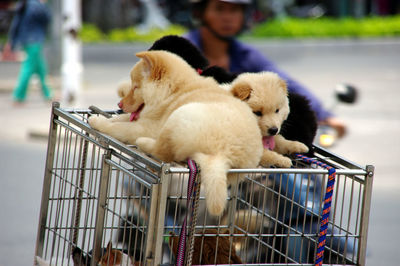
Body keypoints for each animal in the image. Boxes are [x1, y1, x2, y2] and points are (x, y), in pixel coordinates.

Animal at [89, 50, 262, 216]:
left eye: (136, 87)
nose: (120, 104)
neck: (173, 91)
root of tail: (222, 155)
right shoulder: (144, 118)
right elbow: (121, 119)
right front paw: (108, 117)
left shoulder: (149, 126)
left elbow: (120, 127)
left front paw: (98, 122)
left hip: (179, 115)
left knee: (163, 151)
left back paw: (143, 143)